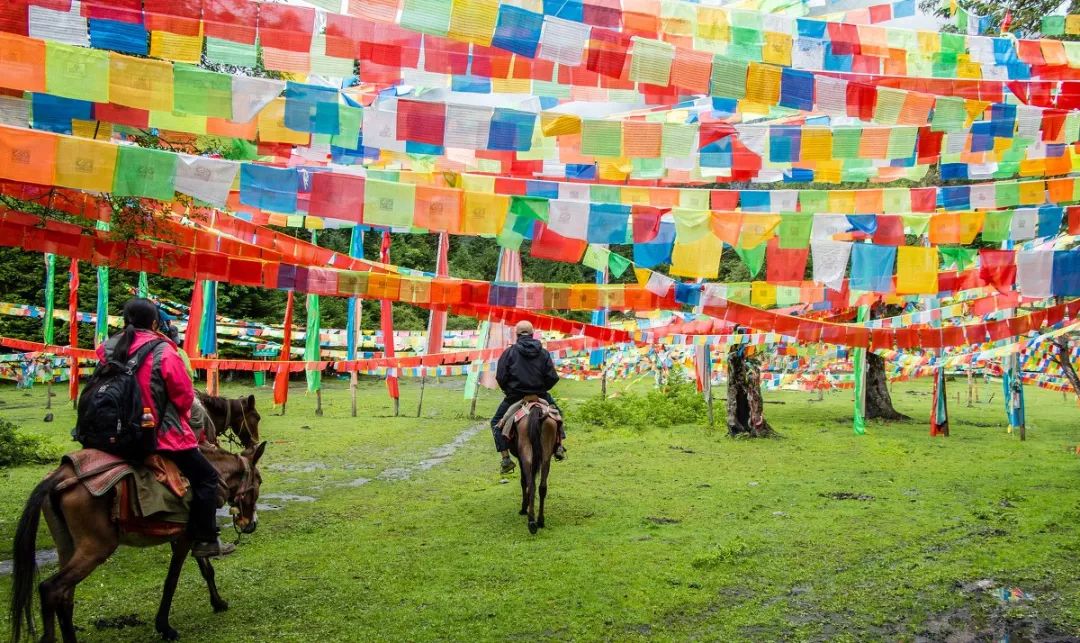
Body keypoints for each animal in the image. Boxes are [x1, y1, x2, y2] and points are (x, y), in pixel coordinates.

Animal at [9, 443, 266, 643]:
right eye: (259, 481)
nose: (251, 524)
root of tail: (60, 476)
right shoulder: (186, 535)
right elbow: (172, 580)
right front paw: (165, 627)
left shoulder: (184, 533)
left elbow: (206, 570)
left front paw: (218, 602)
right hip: (96, 547)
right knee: (50, 588)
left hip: (67, 546)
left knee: (65, 595)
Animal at [505, 395, 557, 536]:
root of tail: (536, 410)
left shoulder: (521, 459)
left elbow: (523, 481)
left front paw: (524, 507)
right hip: (546, 456)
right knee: (542, 487)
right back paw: (540, 520)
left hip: (526, 454)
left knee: (531, 484)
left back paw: (531, 521)